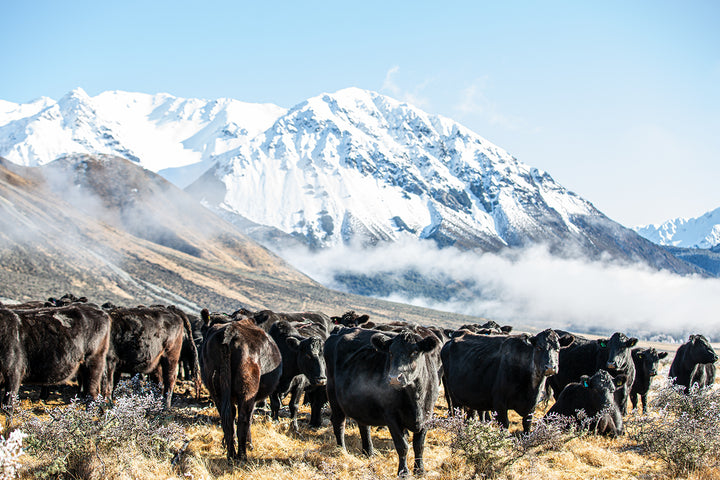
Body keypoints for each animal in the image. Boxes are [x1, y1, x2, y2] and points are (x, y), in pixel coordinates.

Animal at [324, 326, 438, 476]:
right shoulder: (391, 416)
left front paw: (420, 470)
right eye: (391, 352)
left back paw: (369, 452)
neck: (416, 399)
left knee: (363, 425)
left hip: (360, 402)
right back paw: (341, 450)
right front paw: (403, 472)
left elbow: (419, 446)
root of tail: (340, 330)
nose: (394, 378)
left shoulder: (427, 416)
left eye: (414, 352)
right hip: (333, 396)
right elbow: (402, 446)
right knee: (339, 422)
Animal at [442, 330, 572, 432]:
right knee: (457, 411)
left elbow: (527, 427)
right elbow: (505, 425)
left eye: (558, 349)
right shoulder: (500, 404)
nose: (550, 367)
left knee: (472, 413)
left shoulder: (531, 407)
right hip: (453, 394)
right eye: (539, 347)